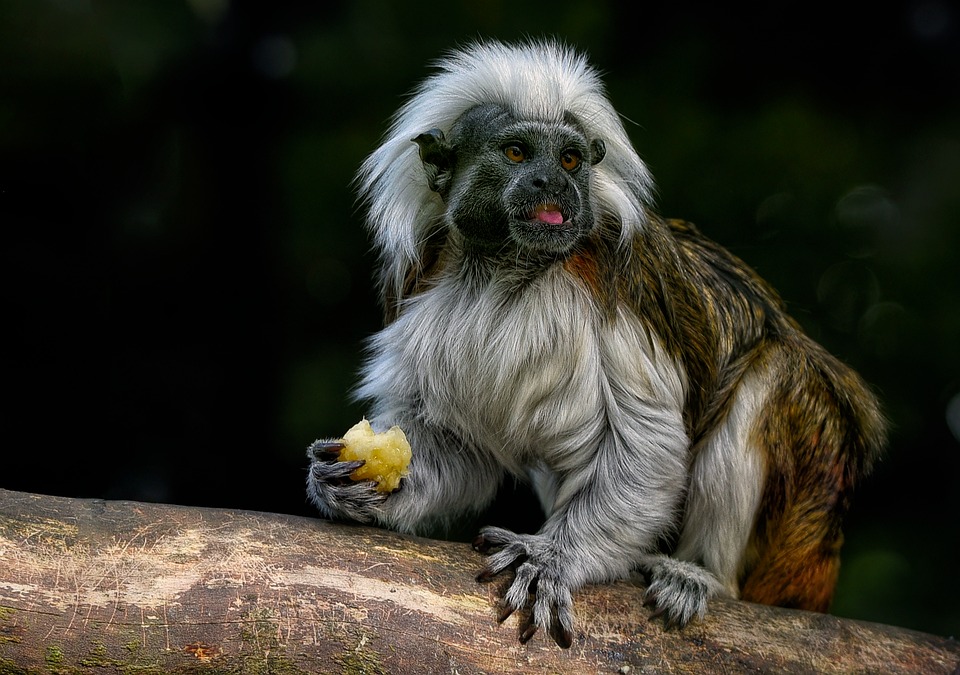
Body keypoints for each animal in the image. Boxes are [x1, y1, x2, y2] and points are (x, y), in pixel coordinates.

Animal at [306, 38, 884, 648]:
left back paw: (697, 573)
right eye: (516, 152)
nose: (552, 185)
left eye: (568, 160)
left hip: (803, 514)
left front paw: (556, 558)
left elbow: (646, 444)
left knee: (771, 377)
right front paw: (351, 488)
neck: (504, 269)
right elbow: (463, 447)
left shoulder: (614, 288)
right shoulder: (423, 284)